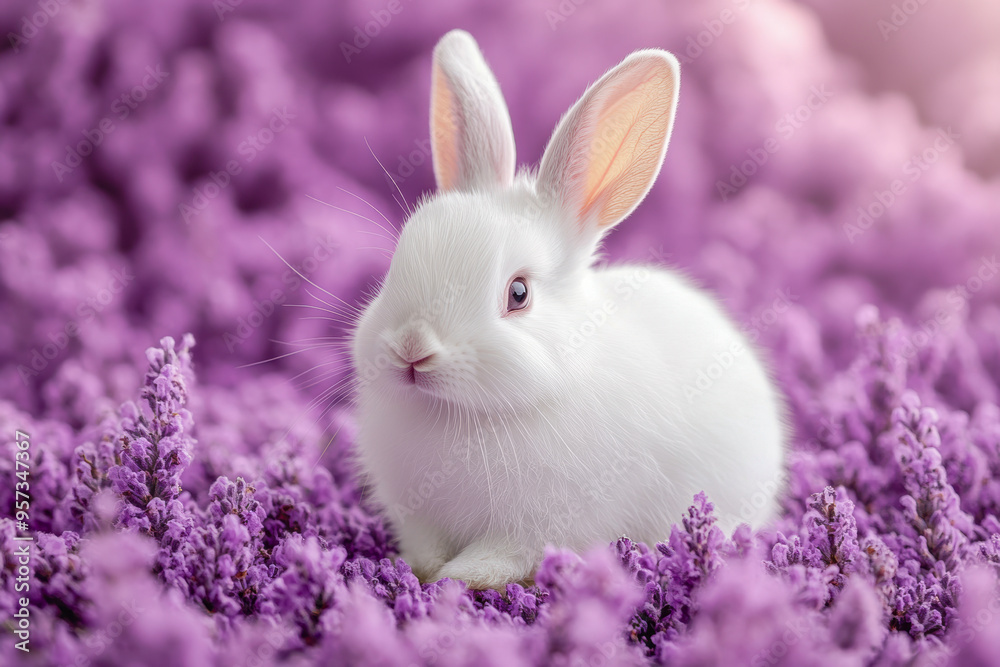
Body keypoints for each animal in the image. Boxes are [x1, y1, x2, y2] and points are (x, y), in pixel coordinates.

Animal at [351, 29, 787, 590]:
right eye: (396, 264)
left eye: (518, 294)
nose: (412, 348)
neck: (462, 414)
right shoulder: (419, 515)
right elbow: (425, 544)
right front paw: (422, 571)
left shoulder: (539, 525)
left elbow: (506, 554)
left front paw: (464, 577)